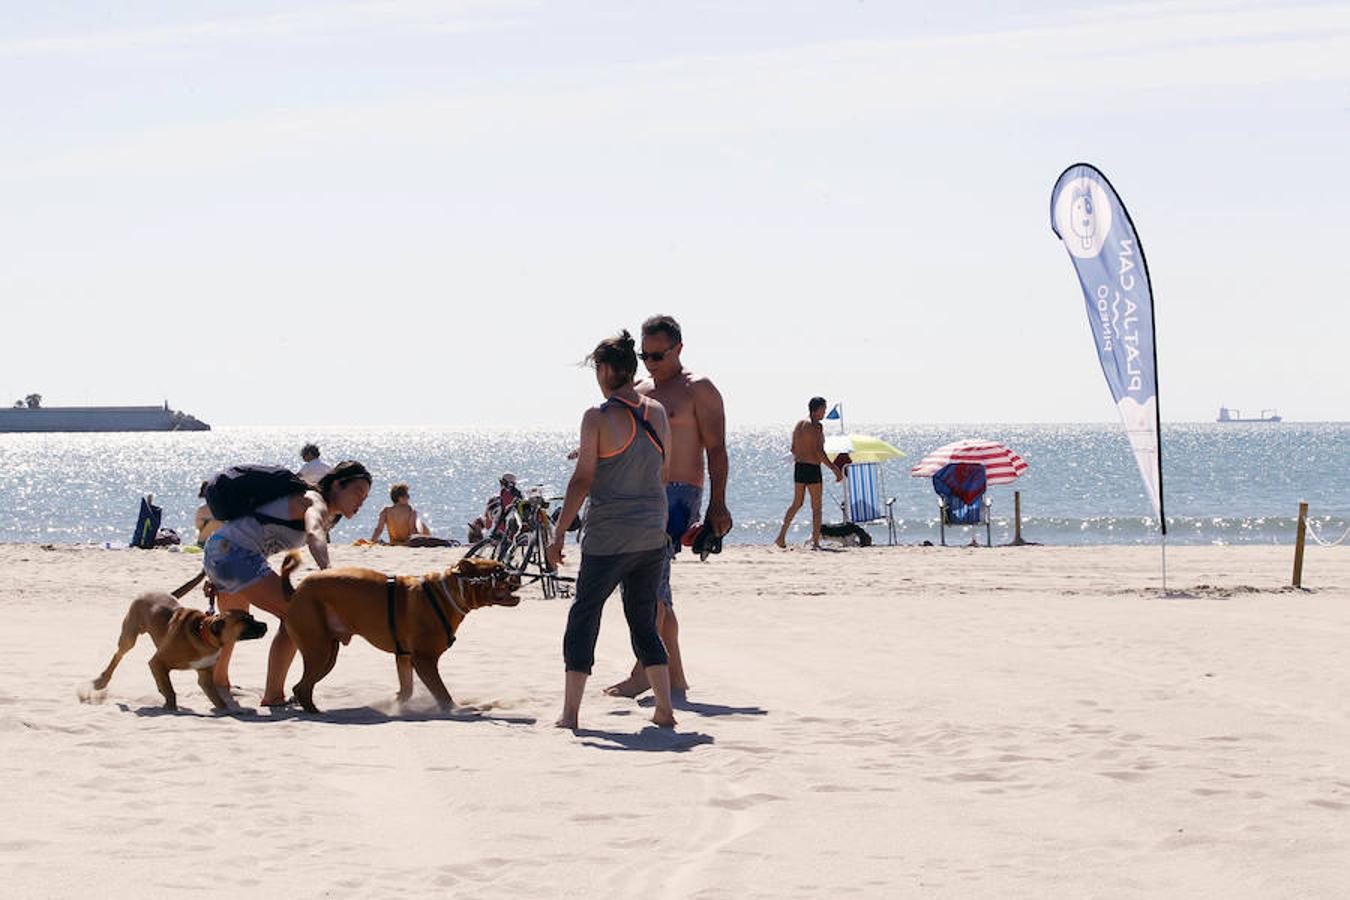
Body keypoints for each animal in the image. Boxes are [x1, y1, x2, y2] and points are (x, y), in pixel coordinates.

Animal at [89, 574, 268, 712]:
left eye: (252, 617)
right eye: (245, 621)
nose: (266, 625)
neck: (204, 633)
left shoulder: (204, 675)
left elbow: (218, 699)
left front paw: (228, 711)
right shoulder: (157, 662)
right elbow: (170, 691)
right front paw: (170, 708)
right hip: (129, 635)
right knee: (118, 655)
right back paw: (102, 680)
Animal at [282, 553, 518, 712]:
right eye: (499, 570)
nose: (517, 575)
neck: (450, 592)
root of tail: (296, 592)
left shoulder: (404, 657)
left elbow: (407, 689)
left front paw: (393, 702)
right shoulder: (424, 660)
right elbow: (441, 691)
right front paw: (456, 709)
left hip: (328, 654)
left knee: (301, 687)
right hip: (319, 652)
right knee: (302, 687)